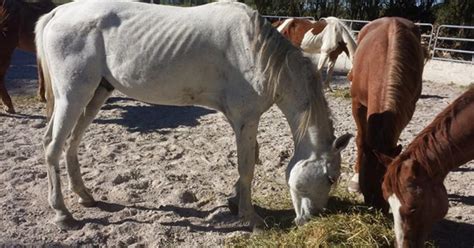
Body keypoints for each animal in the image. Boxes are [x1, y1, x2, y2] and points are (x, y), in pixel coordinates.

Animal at [35, 0, 352, 231]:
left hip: (96, 94)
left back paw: (85, 196)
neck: (258, 52)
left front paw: (235, 201)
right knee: (52, 145)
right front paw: (250, 218)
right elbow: (247, 166)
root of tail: (59, 11)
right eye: (330, 178)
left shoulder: (240, 120)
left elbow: (249, 160)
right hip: (72, 96)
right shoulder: (246, 118)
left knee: (72, 143)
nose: (312, 218)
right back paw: (62, 214)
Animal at [348, 17, 426, 211]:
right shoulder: (357, 104)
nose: (377, 206)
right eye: (367, 175)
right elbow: (360, 140)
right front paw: (355, 179)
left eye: (388, 180)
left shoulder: (407, 110)